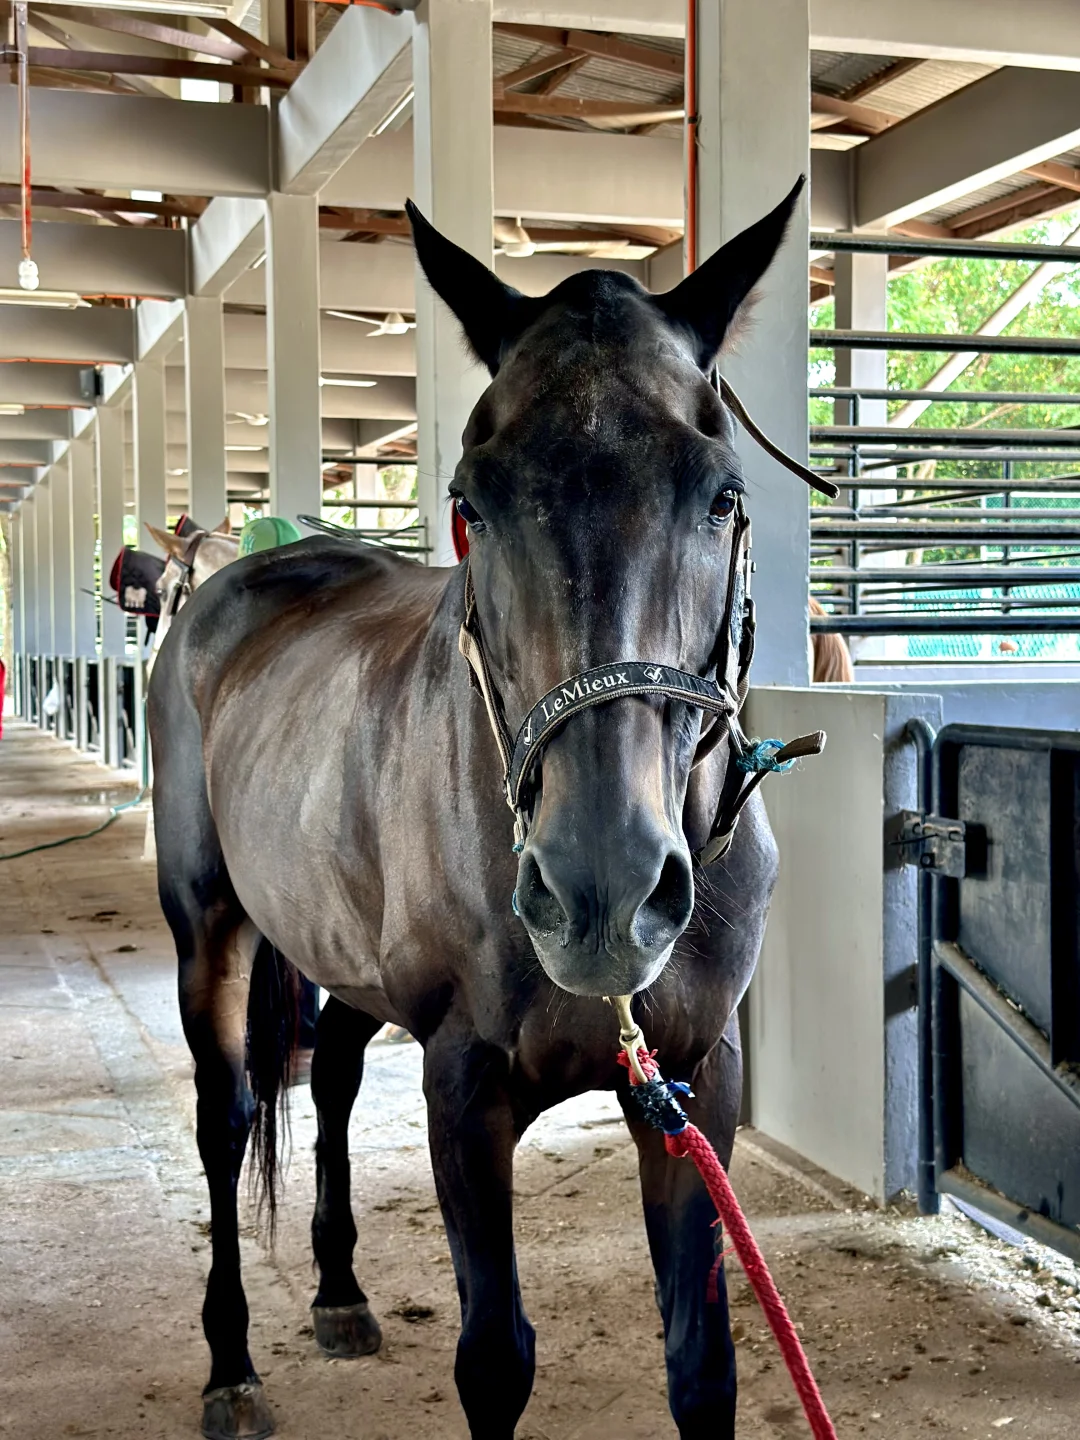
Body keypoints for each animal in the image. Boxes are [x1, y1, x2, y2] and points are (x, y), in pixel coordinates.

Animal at [149, 177, 819, 1440]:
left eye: (723, 494)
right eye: (470, 497)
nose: (602, 892)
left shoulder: (695, 1084)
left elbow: (703, 1365)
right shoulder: (464, 1089)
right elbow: (494, 1359)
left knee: (336, 1076)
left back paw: (340, 1292)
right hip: (206, 927)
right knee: (229, 1117)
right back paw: (228, 1367)